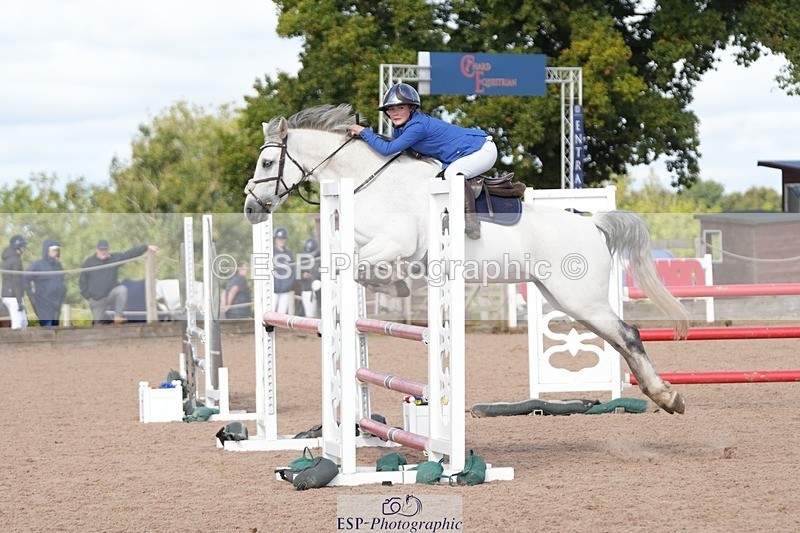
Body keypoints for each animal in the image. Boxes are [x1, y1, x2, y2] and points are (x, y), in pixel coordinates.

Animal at [243, 104, 690, 414]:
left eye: (267, 161)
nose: (250, 209)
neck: (370, 182)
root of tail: (593, 223)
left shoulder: (395, 242)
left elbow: (364, 265)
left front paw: (396, 285)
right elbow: (349, 263)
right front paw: (390, 287)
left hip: (581, 297)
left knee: (628, 334)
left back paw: (669, 397)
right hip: (566, 299)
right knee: (616, 338)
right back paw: (659, 394)